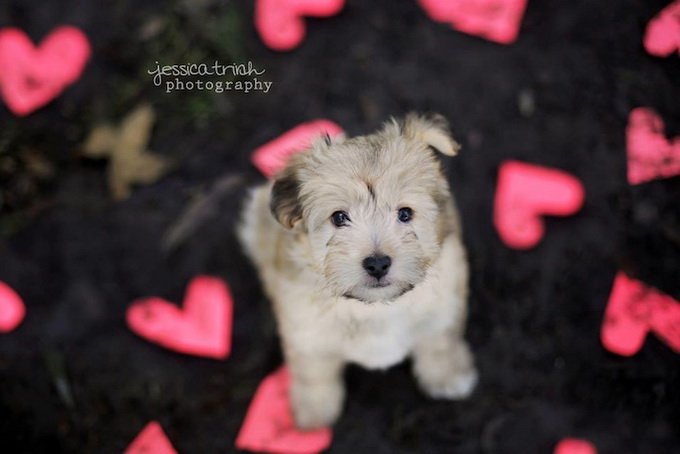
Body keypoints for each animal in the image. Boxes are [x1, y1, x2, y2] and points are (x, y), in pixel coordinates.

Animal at [239, 114, 478, 430]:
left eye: (405, 213)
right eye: (339, 217)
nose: (377, 263)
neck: (374, 307)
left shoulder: (444, 306)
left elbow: (440, 343)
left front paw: (448, 375)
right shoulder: (306, 333)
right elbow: (313, 372)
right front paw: (314, 411)